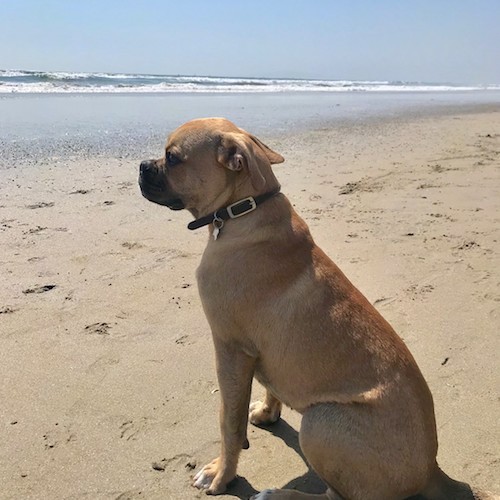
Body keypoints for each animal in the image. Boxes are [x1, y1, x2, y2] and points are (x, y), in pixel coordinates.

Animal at [139, 118, 494, 500]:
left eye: (173, 158)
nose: (141, 166)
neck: (247, 208)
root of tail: (432, 471)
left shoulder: (230, 349)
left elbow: (229, 424)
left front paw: (221, 475)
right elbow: (270, 389)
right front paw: (267, 413)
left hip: (321, 421)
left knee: (336, 496)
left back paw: (277, 495)